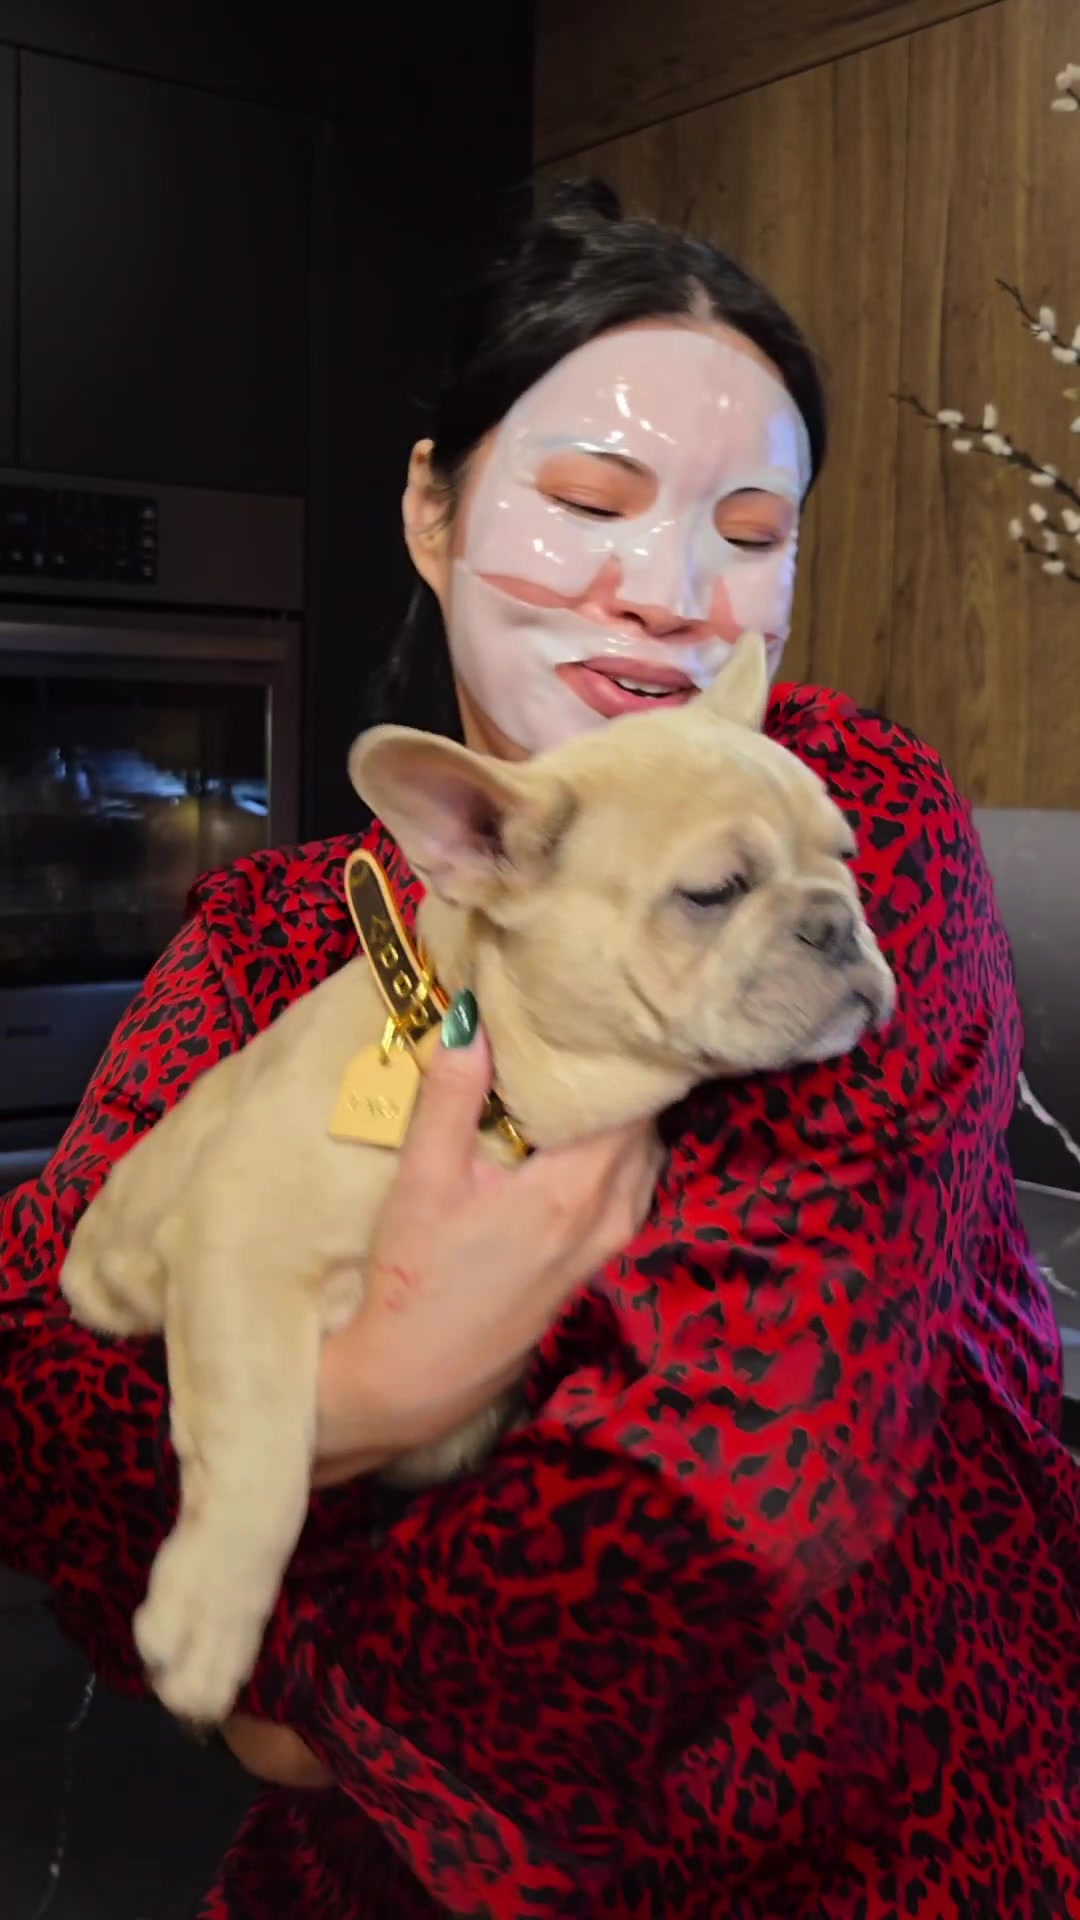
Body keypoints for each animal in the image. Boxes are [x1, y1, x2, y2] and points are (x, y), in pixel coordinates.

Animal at [61, 634, 895, 1726]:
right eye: (713, 893)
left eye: (846, 859)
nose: (837, 923)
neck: (509, 1091)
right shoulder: (239, 1245)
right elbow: (258, 1444)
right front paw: (206, 1619)